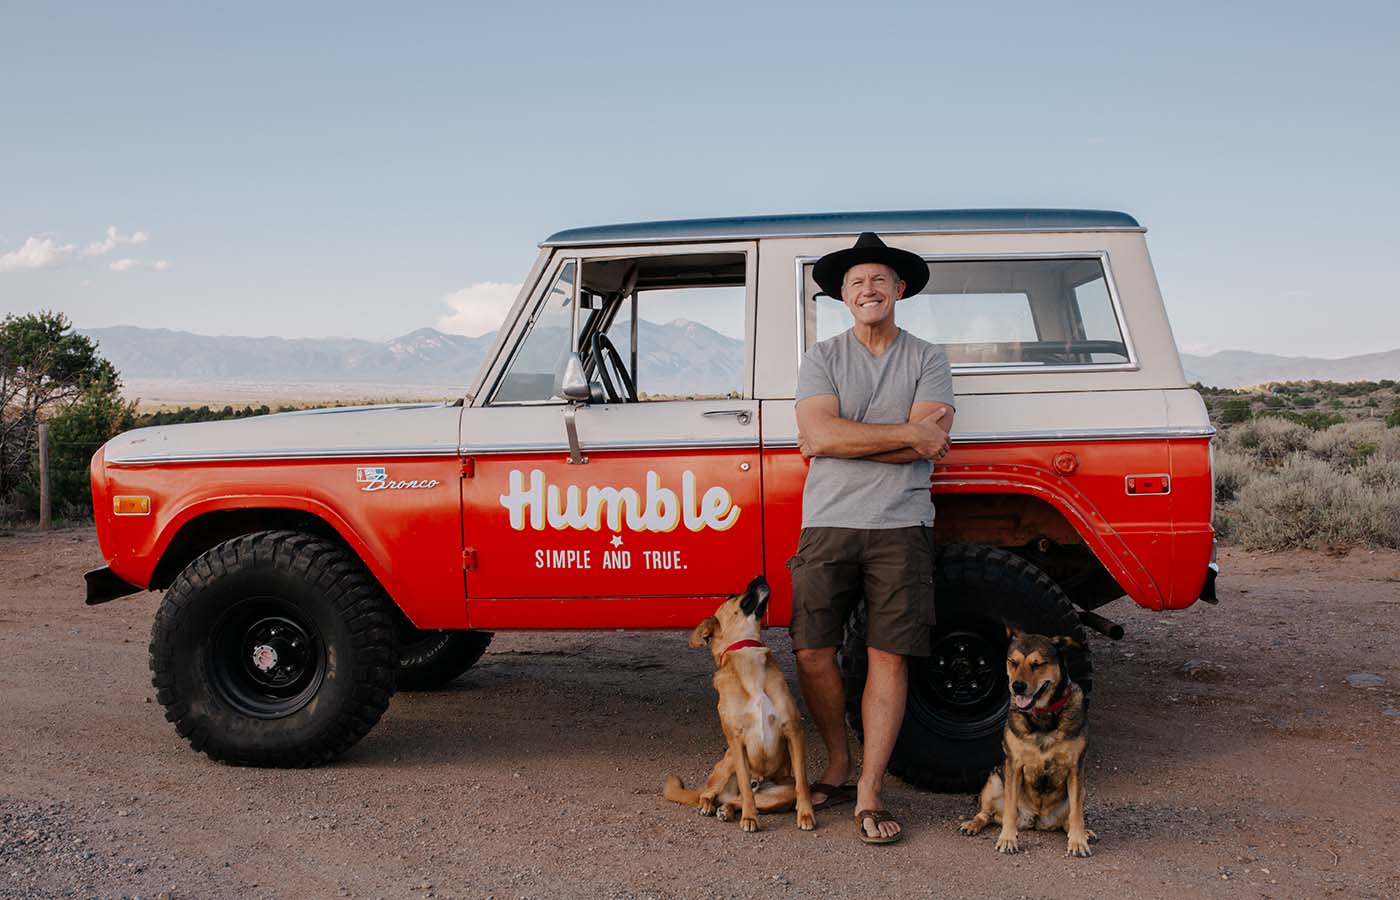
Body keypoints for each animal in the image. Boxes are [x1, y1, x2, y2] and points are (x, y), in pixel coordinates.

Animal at [660, 576, 817, 839]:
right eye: (731, 595)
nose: (759, 577)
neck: (747, 652)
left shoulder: (793, 731)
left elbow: (802, 782)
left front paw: (806, 815)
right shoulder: (736, 740)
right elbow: (744, 784)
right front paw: (750, 819)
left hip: (779, 791)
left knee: (737, 799)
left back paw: (728, 810)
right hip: (728, 763)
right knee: (716, 794)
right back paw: (710, 806)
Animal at [957, 632, 1097, 856]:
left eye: (1038, 664)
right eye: (1013, 662)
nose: (1017, 686)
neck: (1043, 716)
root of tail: (1036, 819)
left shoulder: (1075, 768)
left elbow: (1076, 814)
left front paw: (1077, 841)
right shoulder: (1014, 765)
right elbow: (1009, 810)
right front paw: (1007, 839)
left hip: (1081, 790)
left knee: (1067, 820)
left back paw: (1083, 833)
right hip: (994, 780)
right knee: (987, 814)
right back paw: (972, 824)